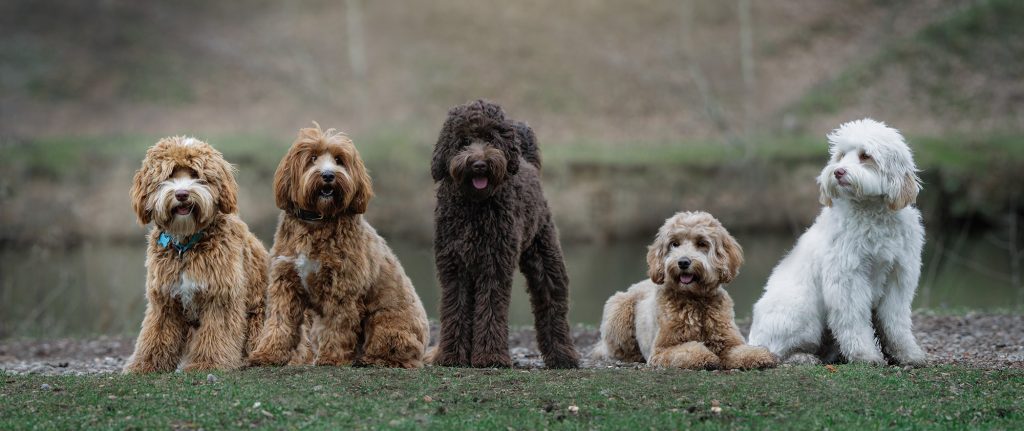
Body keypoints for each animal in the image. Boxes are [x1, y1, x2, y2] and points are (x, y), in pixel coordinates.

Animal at [123, 136, 270, 370]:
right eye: (169, 175)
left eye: (195, 174)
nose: (182, 194)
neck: (186, 245)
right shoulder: (164, 300)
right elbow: (155, 334)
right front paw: (144, 365)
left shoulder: (220, 296)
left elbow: (216, 333)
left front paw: (207, 363)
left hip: (259, 320)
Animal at [247, 122, 428, 368]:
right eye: (312, 158)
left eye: (339, 160)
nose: (328, 175)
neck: (317, 220)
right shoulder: (285, 281)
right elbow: (279, 321)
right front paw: (267, 354)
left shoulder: (342, 287)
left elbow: (337, 325)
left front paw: (331, 358)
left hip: (385, 323)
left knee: (395, 354)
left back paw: (370, 359)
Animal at [425, 99, 581, 368]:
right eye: (464, 140)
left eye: (491, 138)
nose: (479, 164)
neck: (475, 206)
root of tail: (528, 162)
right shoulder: (455, 267)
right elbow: (455, 308)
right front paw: (452, 355)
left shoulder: (494, 264)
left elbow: (490, 308)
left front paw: (490, 356)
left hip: (545, 256)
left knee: (552, 302)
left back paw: (563, 355)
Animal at [593, 209, 774, 368]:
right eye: (674, 244)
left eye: (702, 243)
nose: (683, 262)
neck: (695, 300)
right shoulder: (663, 349)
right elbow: (688, 351)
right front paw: (705, 357)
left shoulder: (728, 341)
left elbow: (741, 350)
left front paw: (759, 356)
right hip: (619, 311)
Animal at [749, 119, 925, 364]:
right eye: (841, 155)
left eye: (865, 155)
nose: (838, 172)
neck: (872, 211)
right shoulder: (848, 277)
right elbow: (854, 320)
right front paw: (865, 354)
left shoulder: (898, 276)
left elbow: (895, 321)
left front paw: (908, 353)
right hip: (802, 312)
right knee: (777, 352)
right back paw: (803, 357)